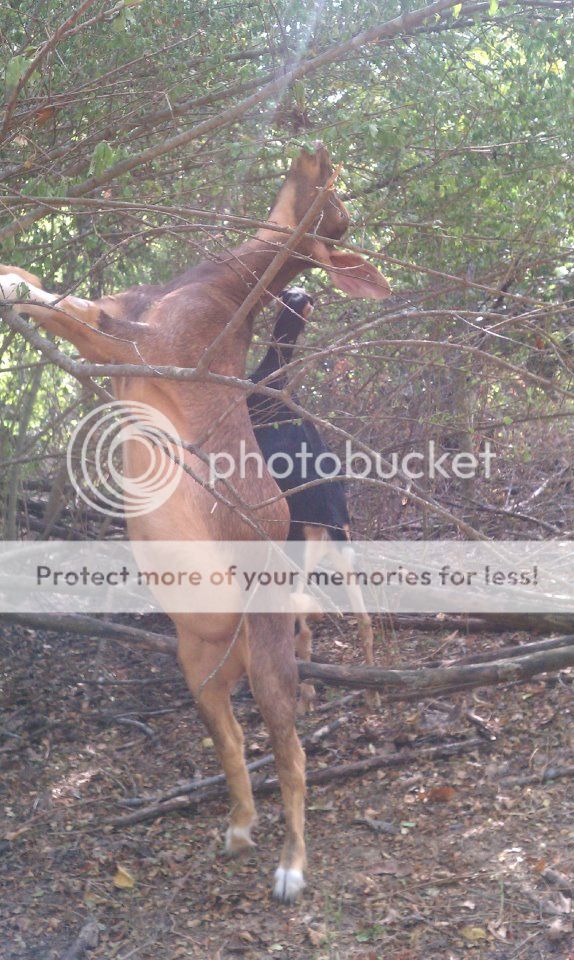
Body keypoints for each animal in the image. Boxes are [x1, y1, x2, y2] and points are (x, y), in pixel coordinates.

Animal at [248, 288, 379, 713]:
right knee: (364, 618)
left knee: (300, 621)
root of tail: (328, 518)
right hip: (342, 545)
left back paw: (303, 695)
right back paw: (372, 690)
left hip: (298, 545)